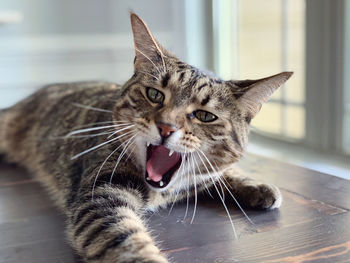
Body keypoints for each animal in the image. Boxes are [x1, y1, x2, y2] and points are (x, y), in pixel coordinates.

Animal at [0, 13, 292, 263]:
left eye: (204, 116)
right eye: (154, 94)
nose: (166, 127)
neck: (163, 193)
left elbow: (221, 172)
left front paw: (255, 185)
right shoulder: (102, 196)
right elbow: (127, 242)